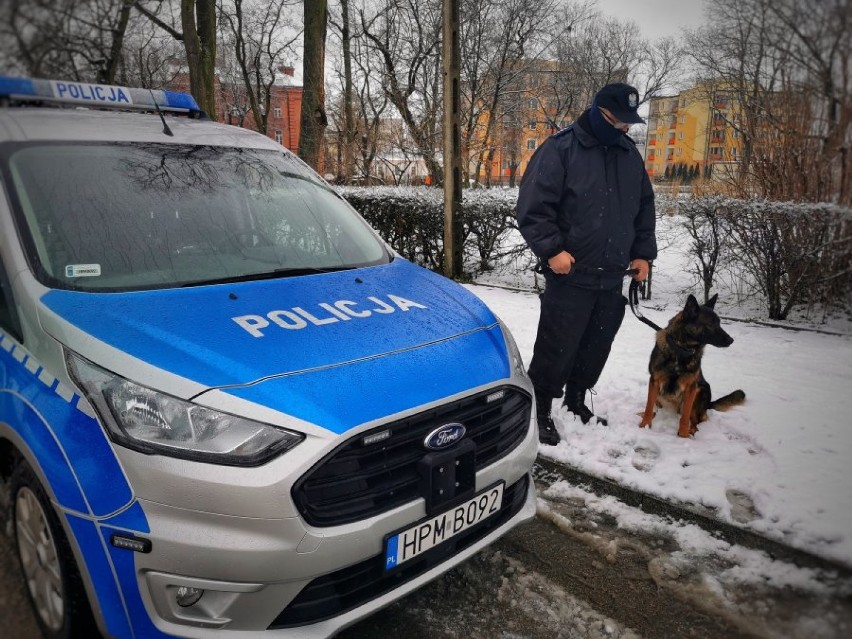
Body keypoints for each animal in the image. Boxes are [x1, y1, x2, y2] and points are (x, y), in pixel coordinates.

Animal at [640, 294, 744, 438]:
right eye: (710, 324)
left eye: (719, 323)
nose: (731, 340)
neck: (681, 350)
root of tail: (708, 405)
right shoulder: (654, 381)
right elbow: (649, 408)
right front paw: (644, 425)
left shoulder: (691, 387)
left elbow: (685, 415)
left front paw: (683, 435)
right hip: (660, 397)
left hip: (701, 390)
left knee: (696, 421)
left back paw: (692, 430)